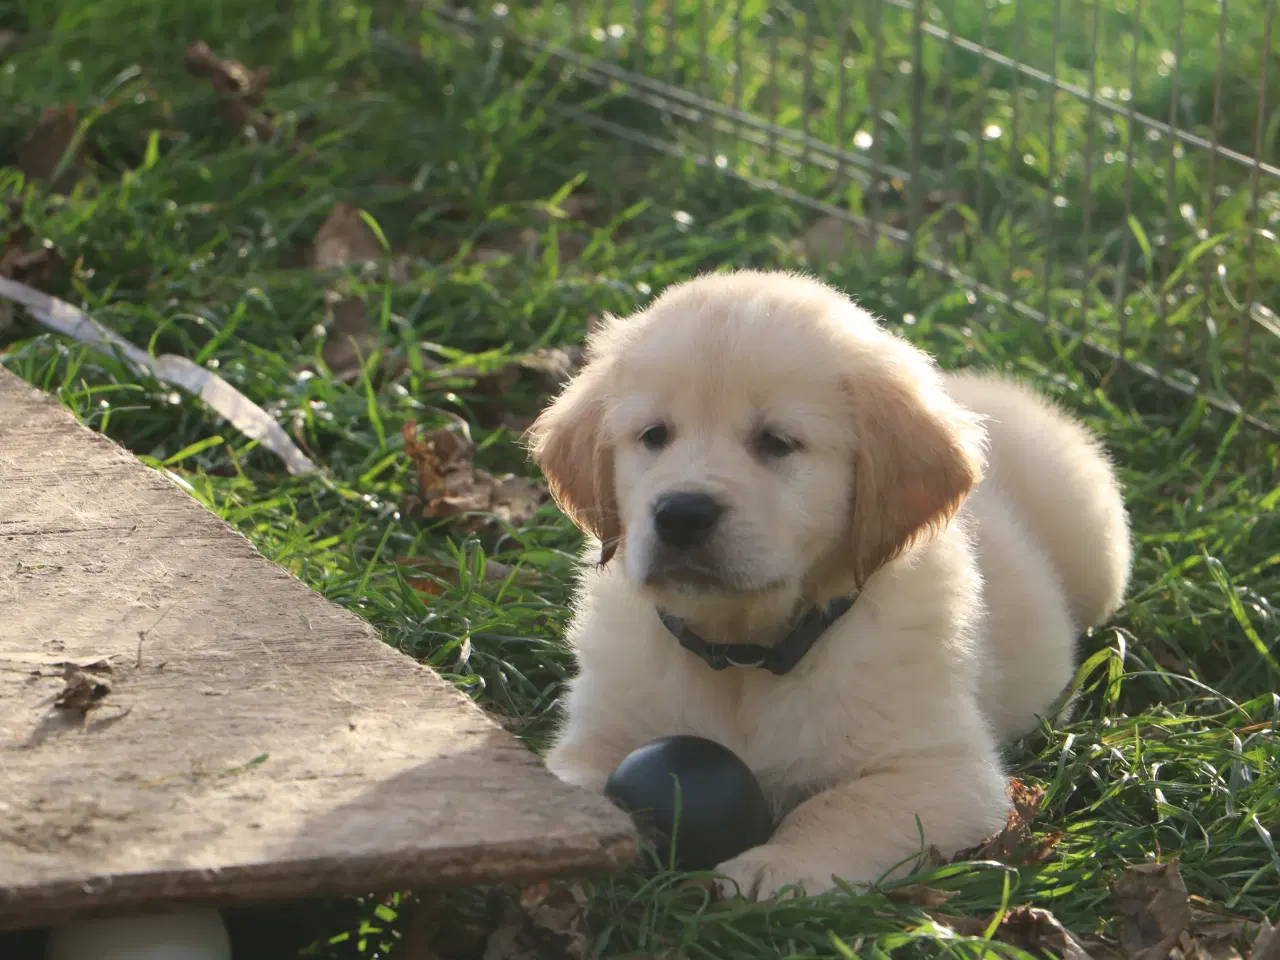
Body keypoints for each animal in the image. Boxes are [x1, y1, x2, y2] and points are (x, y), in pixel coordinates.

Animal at [524, 271, 1126, 901]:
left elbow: (840, 809)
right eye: (653, 435)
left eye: (777, 442)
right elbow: (567, 781)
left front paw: (774, 866)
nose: (681, 515)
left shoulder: (943, 773)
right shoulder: (601, 726)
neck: (743, 657)